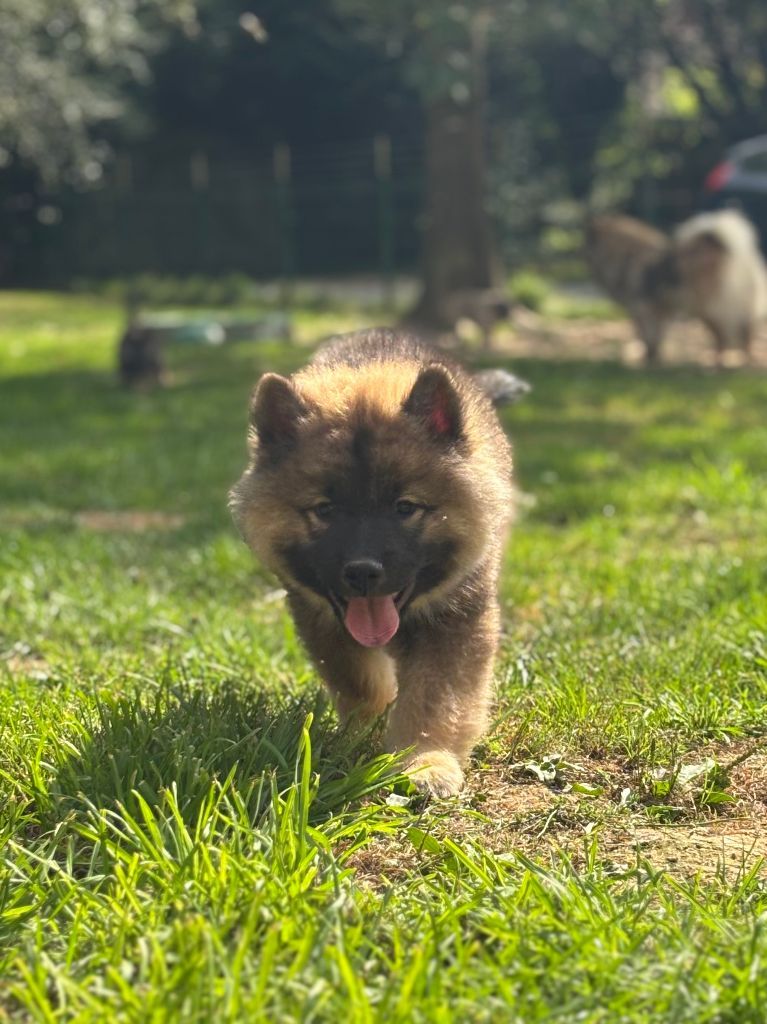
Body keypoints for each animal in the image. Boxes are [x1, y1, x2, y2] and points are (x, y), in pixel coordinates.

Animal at [231, 329, 520, 798]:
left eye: (405, 508)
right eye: (325, 510)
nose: (363, 571)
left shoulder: (455, 620)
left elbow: (436, 700)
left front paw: (426, 761)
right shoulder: (320, 618)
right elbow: (359, 682)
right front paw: (362, 735)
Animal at [585, 207, 765, 364]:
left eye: (586, 242)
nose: (581, 253)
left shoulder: (642, 310)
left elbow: (646, 337)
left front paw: (649, 359)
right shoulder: (660, 312)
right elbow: (656, 338)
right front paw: (655, 358)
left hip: (713, 308)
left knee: (729, 336)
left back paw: (720, 363)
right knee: (742, 333)